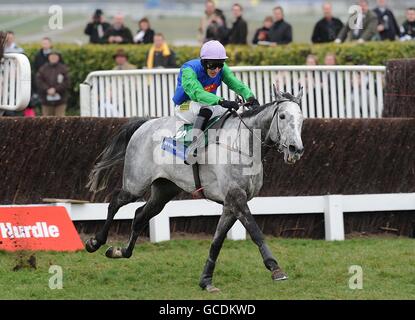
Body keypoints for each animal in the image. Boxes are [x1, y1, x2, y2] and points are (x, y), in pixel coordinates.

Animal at [85, 88, 306, 292]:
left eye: (301, 118)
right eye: (282, 116)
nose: (296, 149)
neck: (242, 146)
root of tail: (145, 124)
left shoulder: (230, 204)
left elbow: (217, 242)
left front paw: (206, 281)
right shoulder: (237, 198)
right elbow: (256, 232)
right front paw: (275, 268)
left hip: (164, 190)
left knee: (140, 215)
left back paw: (120, 252)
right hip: (135, 184)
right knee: (115, 203)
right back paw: (95, 242)